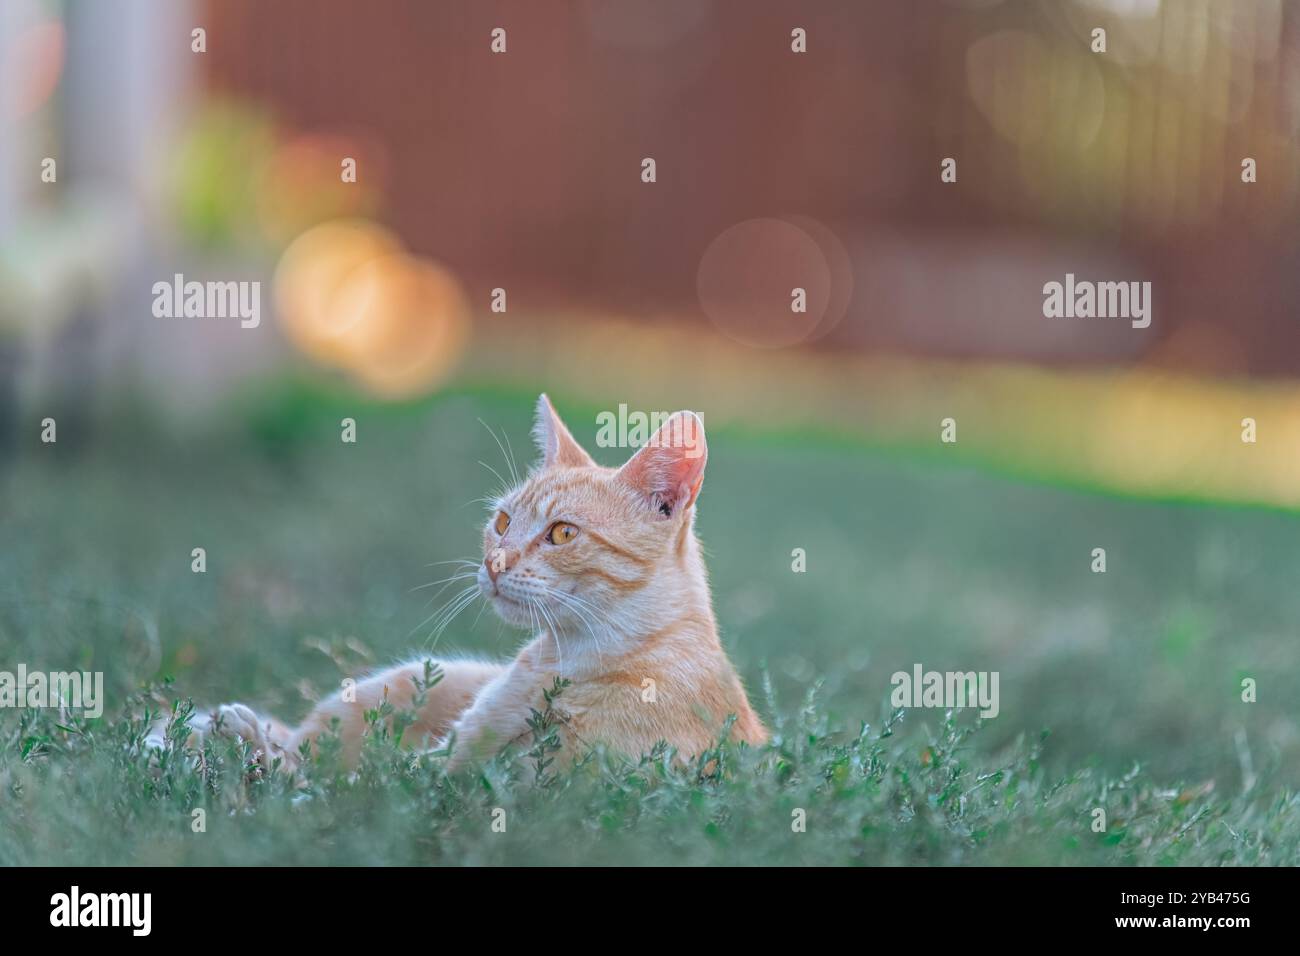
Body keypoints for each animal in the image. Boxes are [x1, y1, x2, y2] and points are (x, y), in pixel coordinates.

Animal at [202, 392, 764, 775]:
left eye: (563, 533)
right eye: (502, 522)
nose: (494, 563)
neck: (570, 661)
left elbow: (346, 782)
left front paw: (248, 749)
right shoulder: (453, 751)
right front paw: (237, 738)